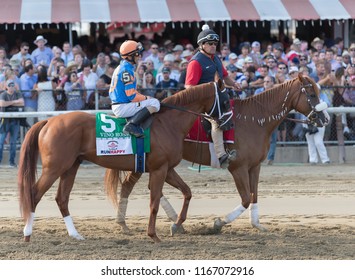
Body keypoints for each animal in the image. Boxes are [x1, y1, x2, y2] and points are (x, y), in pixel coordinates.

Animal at [17, 80, 234, 242]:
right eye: (225, 100)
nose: (229, 124)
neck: (168, 123)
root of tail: (48, 121)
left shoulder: (167, 169)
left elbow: (187, 192)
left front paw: (176, 223)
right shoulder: (159, 169)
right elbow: (154, 202)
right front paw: (153, 235)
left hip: (70, 167)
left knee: (61, 198)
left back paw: (75, 234)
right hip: (54, 167)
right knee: (34, 194)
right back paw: (28, 234)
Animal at [115, 74, 330, 234]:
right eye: (312, 94)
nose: (325, 118)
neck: (255, 120)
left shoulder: (255, 166)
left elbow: (254, 196)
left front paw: (256, 223)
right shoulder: (238, 168)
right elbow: (245, 198)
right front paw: (218, 223)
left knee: (136, 187)